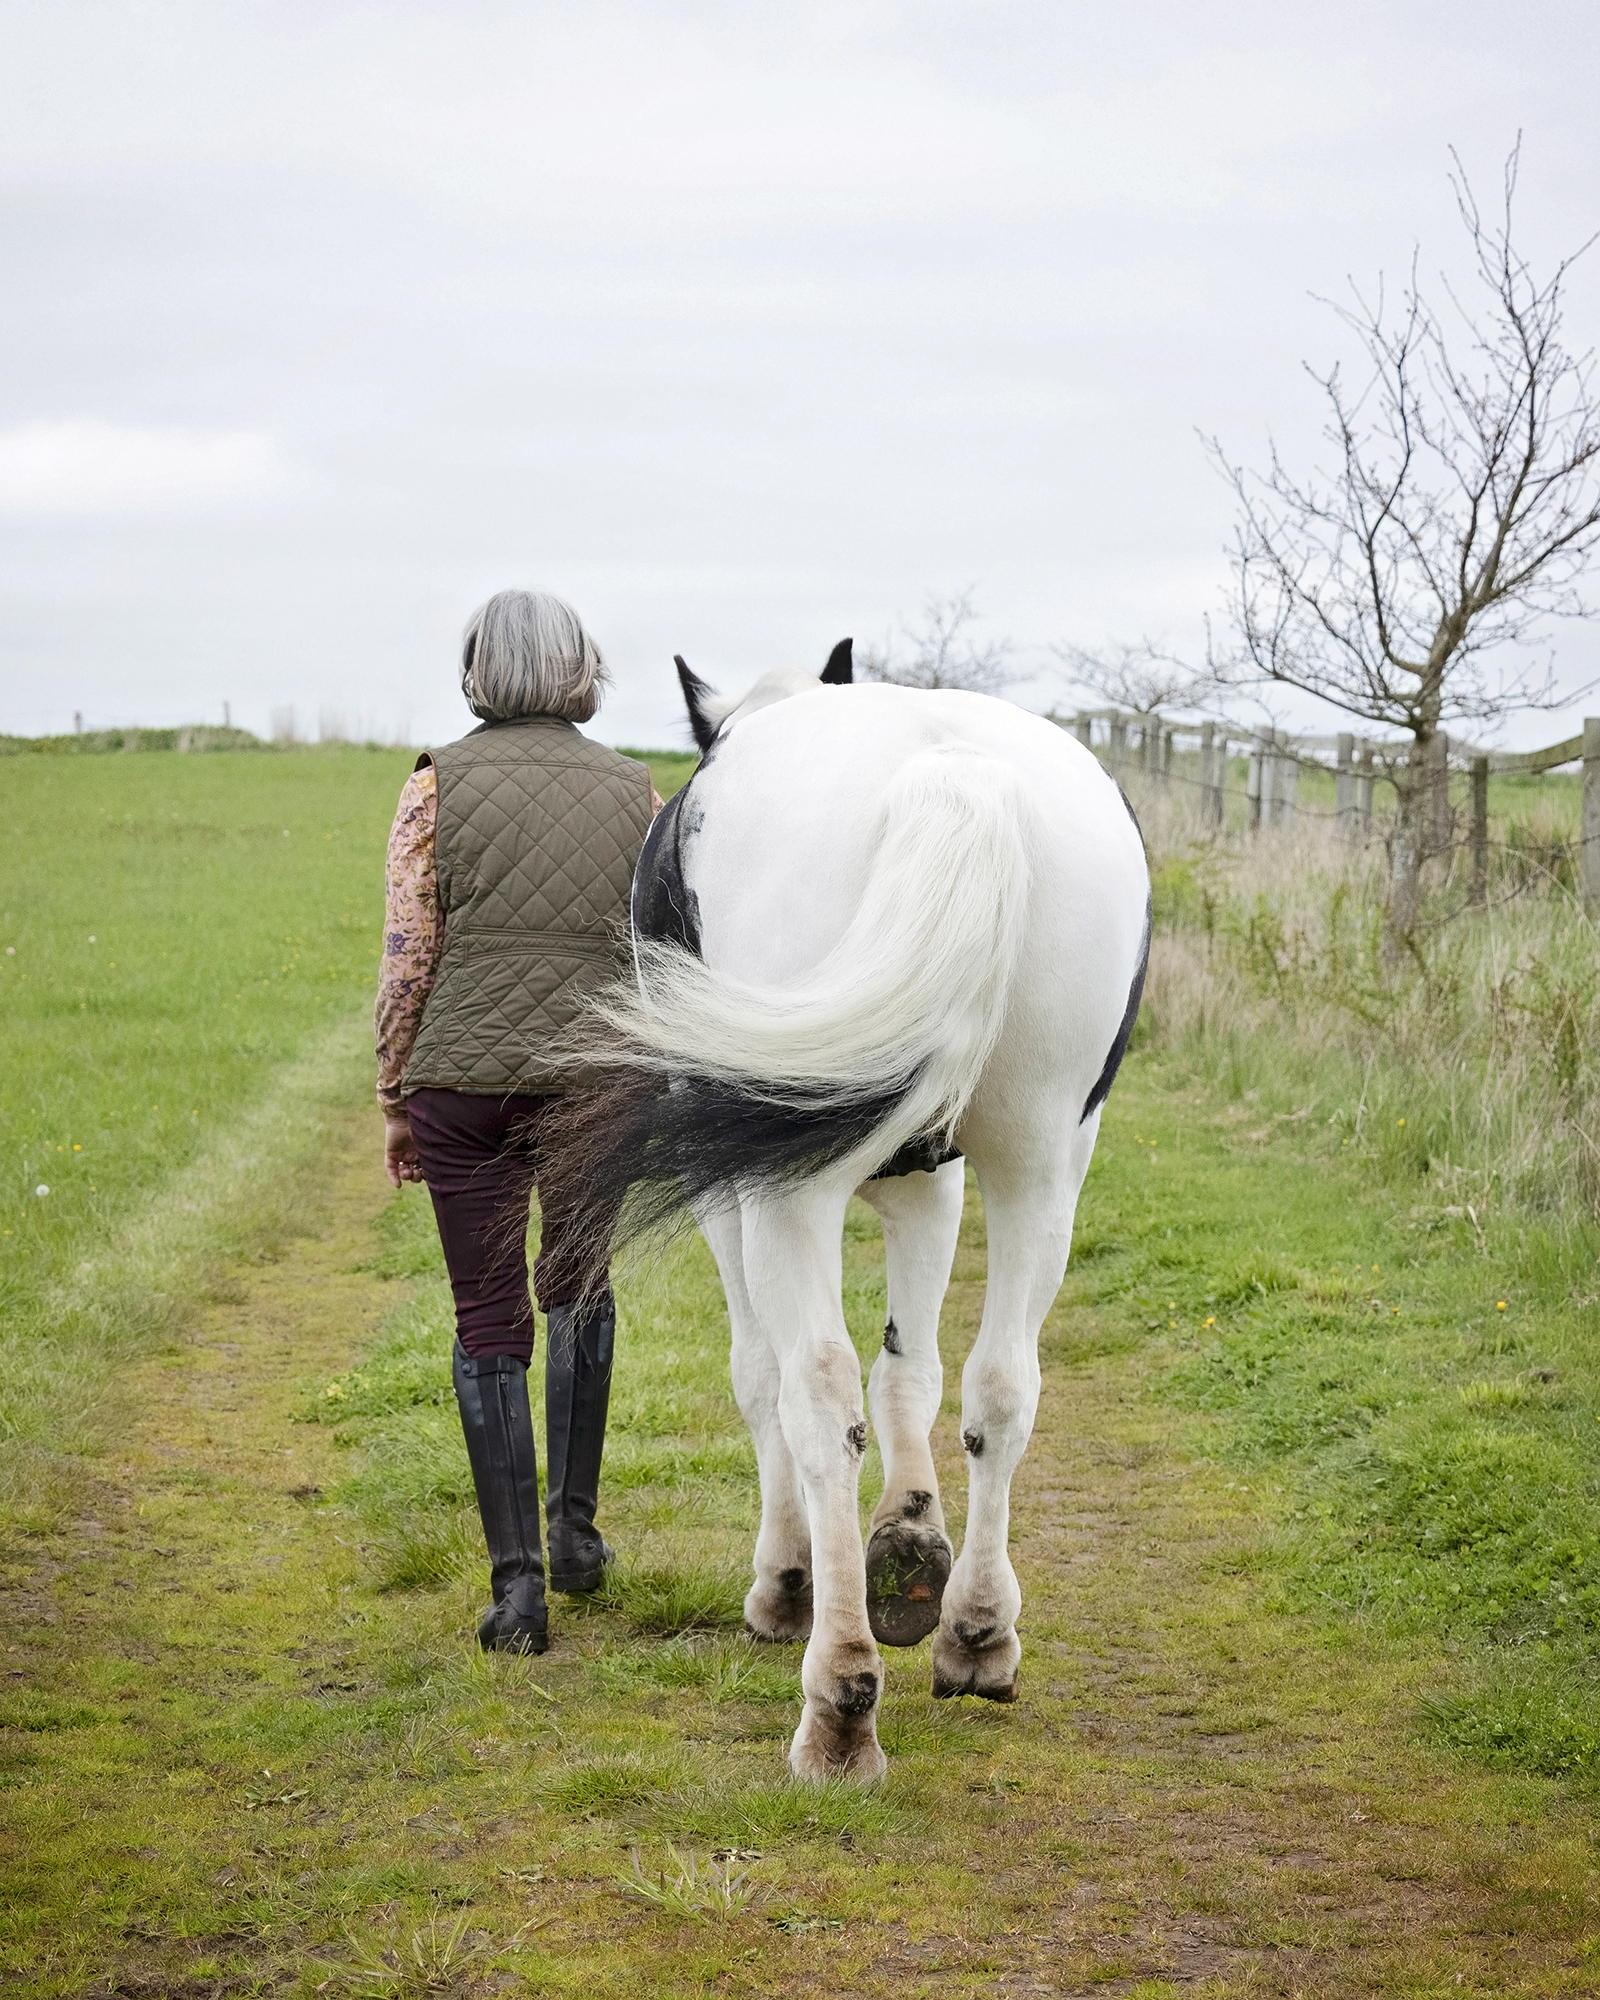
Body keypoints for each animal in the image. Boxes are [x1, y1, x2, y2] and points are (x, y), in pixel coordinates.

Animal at [570, 640, 1150, 1780]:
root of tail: (951, 774)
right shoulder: (934, 1181)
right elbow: (912, 1373)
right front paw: (911, 1540)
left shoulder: (733, 1192)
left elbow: (767, 1376)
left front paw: (790, 1578)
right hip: (1043, 1158)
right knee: (1003, 1382)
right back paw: (976, 1630)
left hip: (788, 1189)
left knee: (815, 1395)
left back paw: (838, 1698)